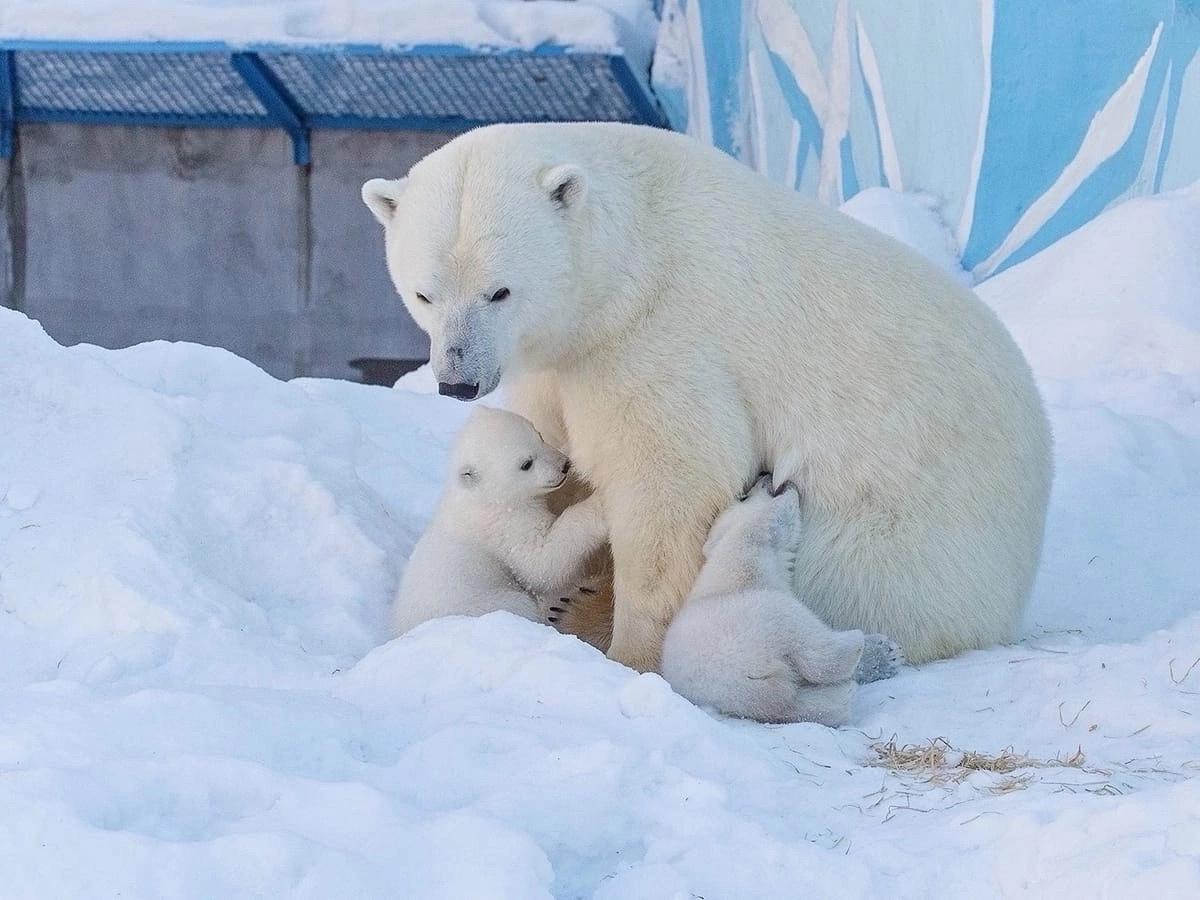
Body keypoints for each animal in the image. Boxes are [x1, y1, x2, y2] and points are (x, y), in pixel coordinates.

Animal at [391, 408, 604, 633]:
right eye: (526, 464)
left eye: (539, 436)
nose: (564, 465)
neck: (481, 497)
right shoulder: (503, 526)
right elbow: (541, 563)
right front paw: (599, 503)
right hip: (488, 603)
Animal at [662, 475, 902, 729]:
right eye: (743, 496)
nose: (765, 475)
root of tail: (752, 682)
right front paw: (884, 652)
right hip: (764, 618)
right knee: (815, 651)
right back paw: (871, 648)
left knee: (805, 705)